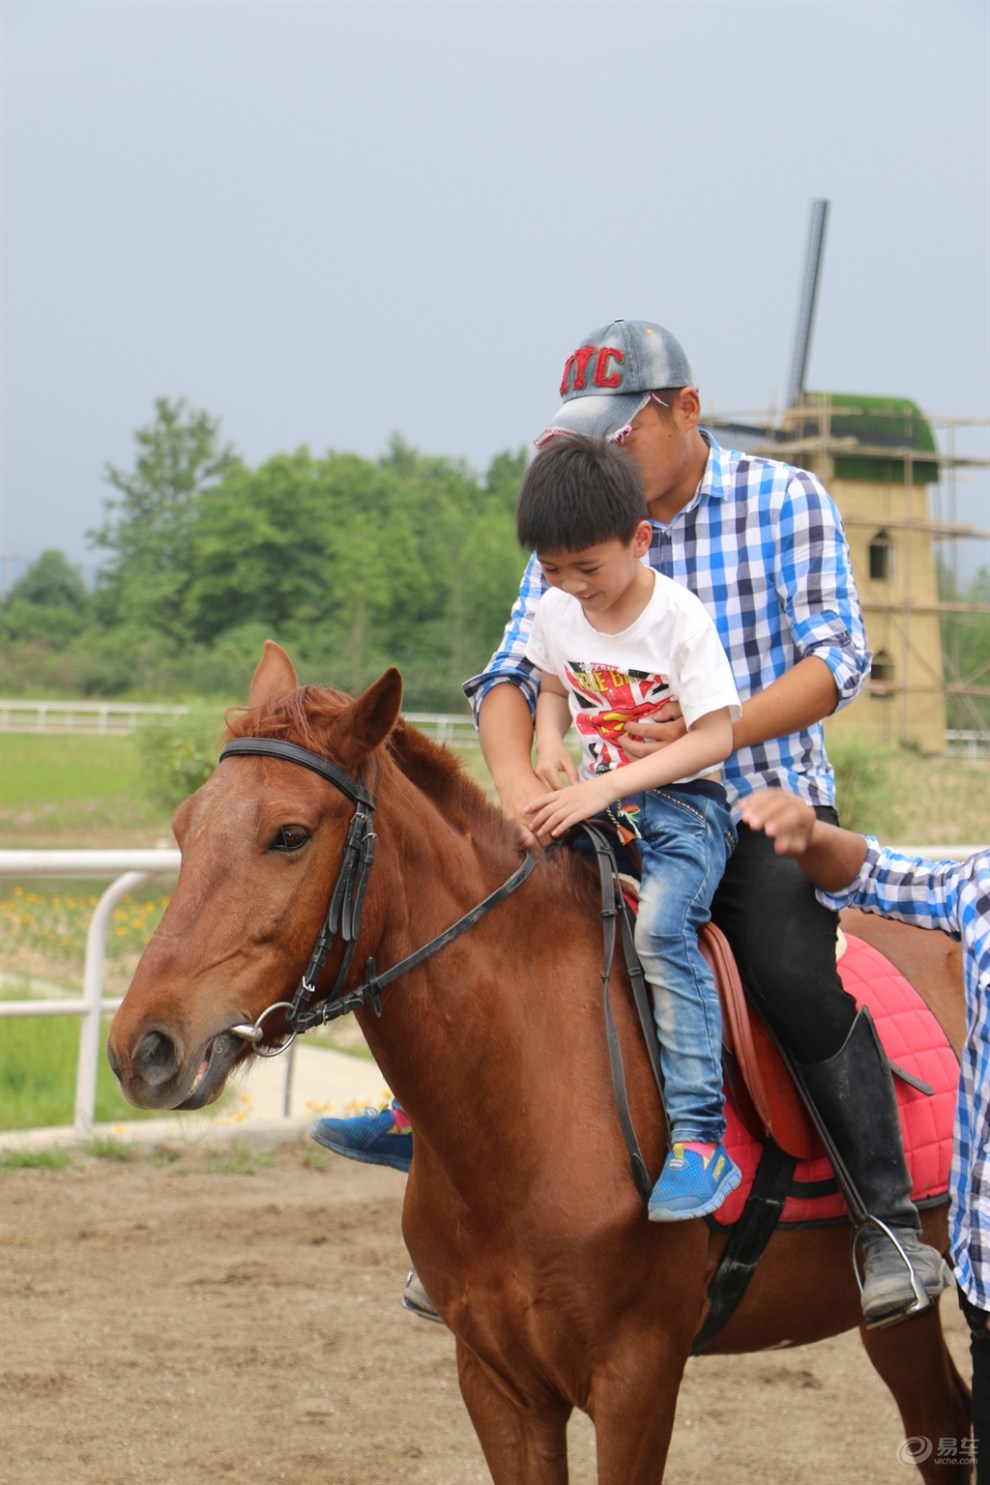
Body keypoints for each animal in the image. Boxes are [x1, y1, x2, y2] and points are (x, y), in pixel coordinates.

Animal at [104, 641, 973, 1485]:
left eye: (288, 834)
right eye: (185, 825)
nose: (142, 1047)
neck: (526, 1106)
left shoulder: (637, 1378)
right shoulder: (497, 1380)